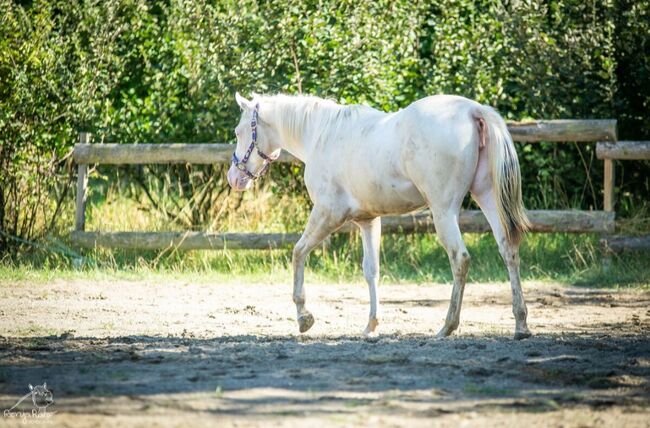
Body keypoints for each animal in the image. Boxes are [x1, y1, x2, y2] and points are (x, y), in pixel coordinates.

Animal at [228, 92, 532, 340]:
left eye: (239, 131)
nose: (234, 178)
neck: (321, 135)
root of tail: (473, 110)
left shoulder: (327, 213)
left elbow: (298, 252)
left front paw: (304, 318)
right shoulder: (368, 220)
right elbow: (371, 271)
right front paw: (371, 326)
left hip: (444, 210)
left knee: (460, 258)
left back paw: (447, 326)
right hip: (487, 196)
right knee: (508, 250)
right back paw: (521, 325)